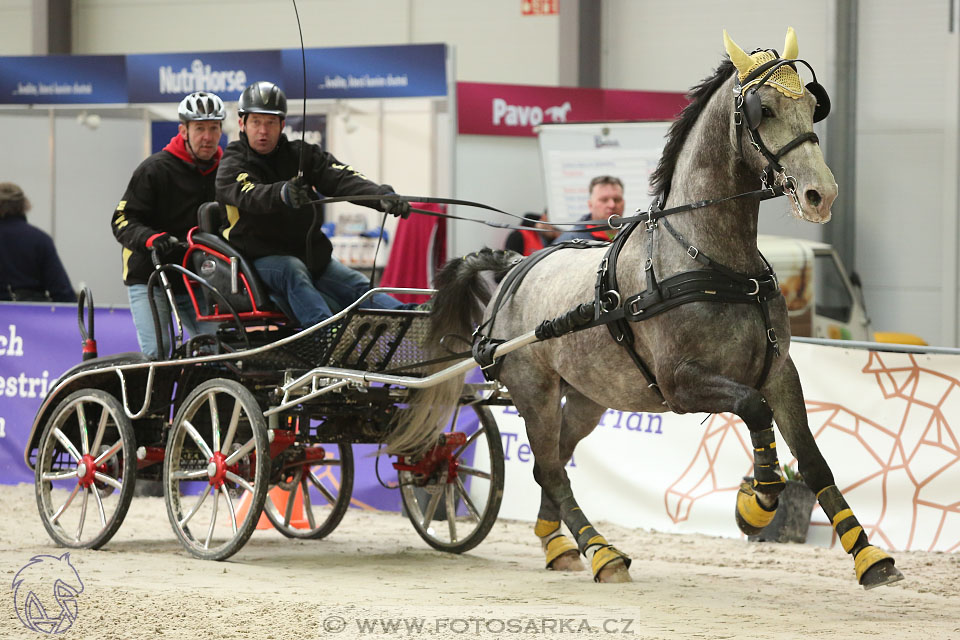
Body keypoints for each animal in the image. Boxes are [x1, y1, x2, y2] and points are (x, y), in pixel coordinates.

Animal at [402, 30, 904, 592]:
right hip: (535, 392)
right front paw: (757, 501)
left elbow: (815, 463)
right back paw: (601, 552)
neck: (712, 262)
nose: (822, 194)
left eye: (813, 107)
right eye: (765, 109)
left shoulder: (780, 372)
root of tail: (515, 268)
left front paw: (868, 556)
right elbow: (754, 410)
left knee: (556, 461)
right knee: (549, 468)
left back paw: (559, 544)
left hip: (586, 397)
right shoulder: (683, 383)